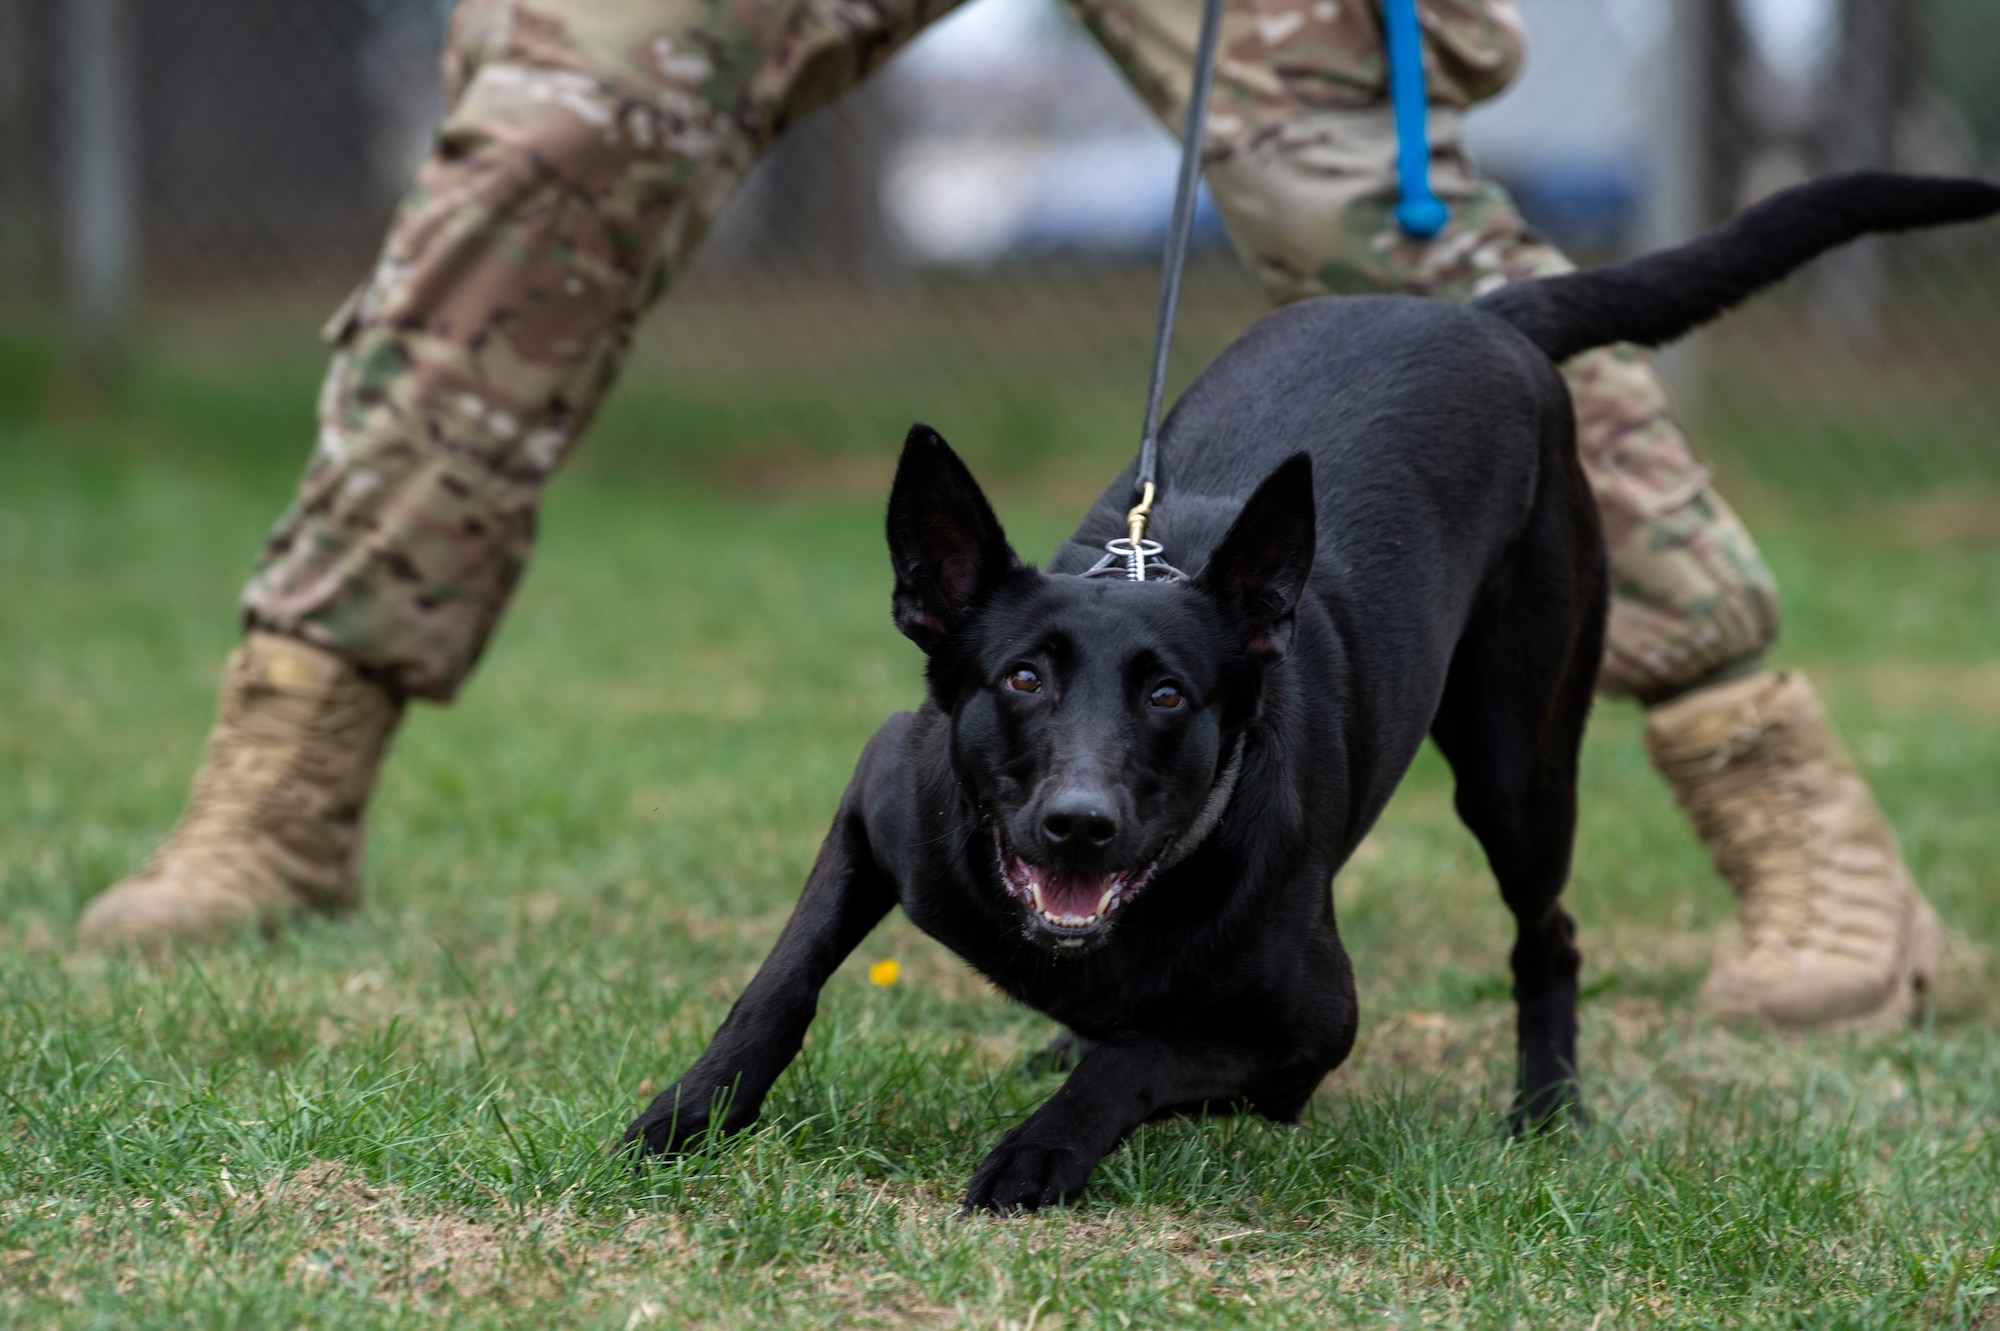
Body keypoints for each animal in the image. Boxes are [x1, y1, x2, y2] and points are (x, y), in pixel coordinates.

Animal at [624, 170, 2000, 1207]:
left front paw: (1041, 1149)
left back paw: (1544, 1108)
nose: (1077, 824)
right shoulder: (880, 802)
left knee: (1546, 934)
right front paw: (687, 1111)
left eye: (1169, 697)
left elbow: (1143, 1060)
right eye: (1019, 676)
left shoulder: (1308, 1030)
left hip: (1516, 760)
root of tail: (1487, 315)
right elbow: (782, 975)